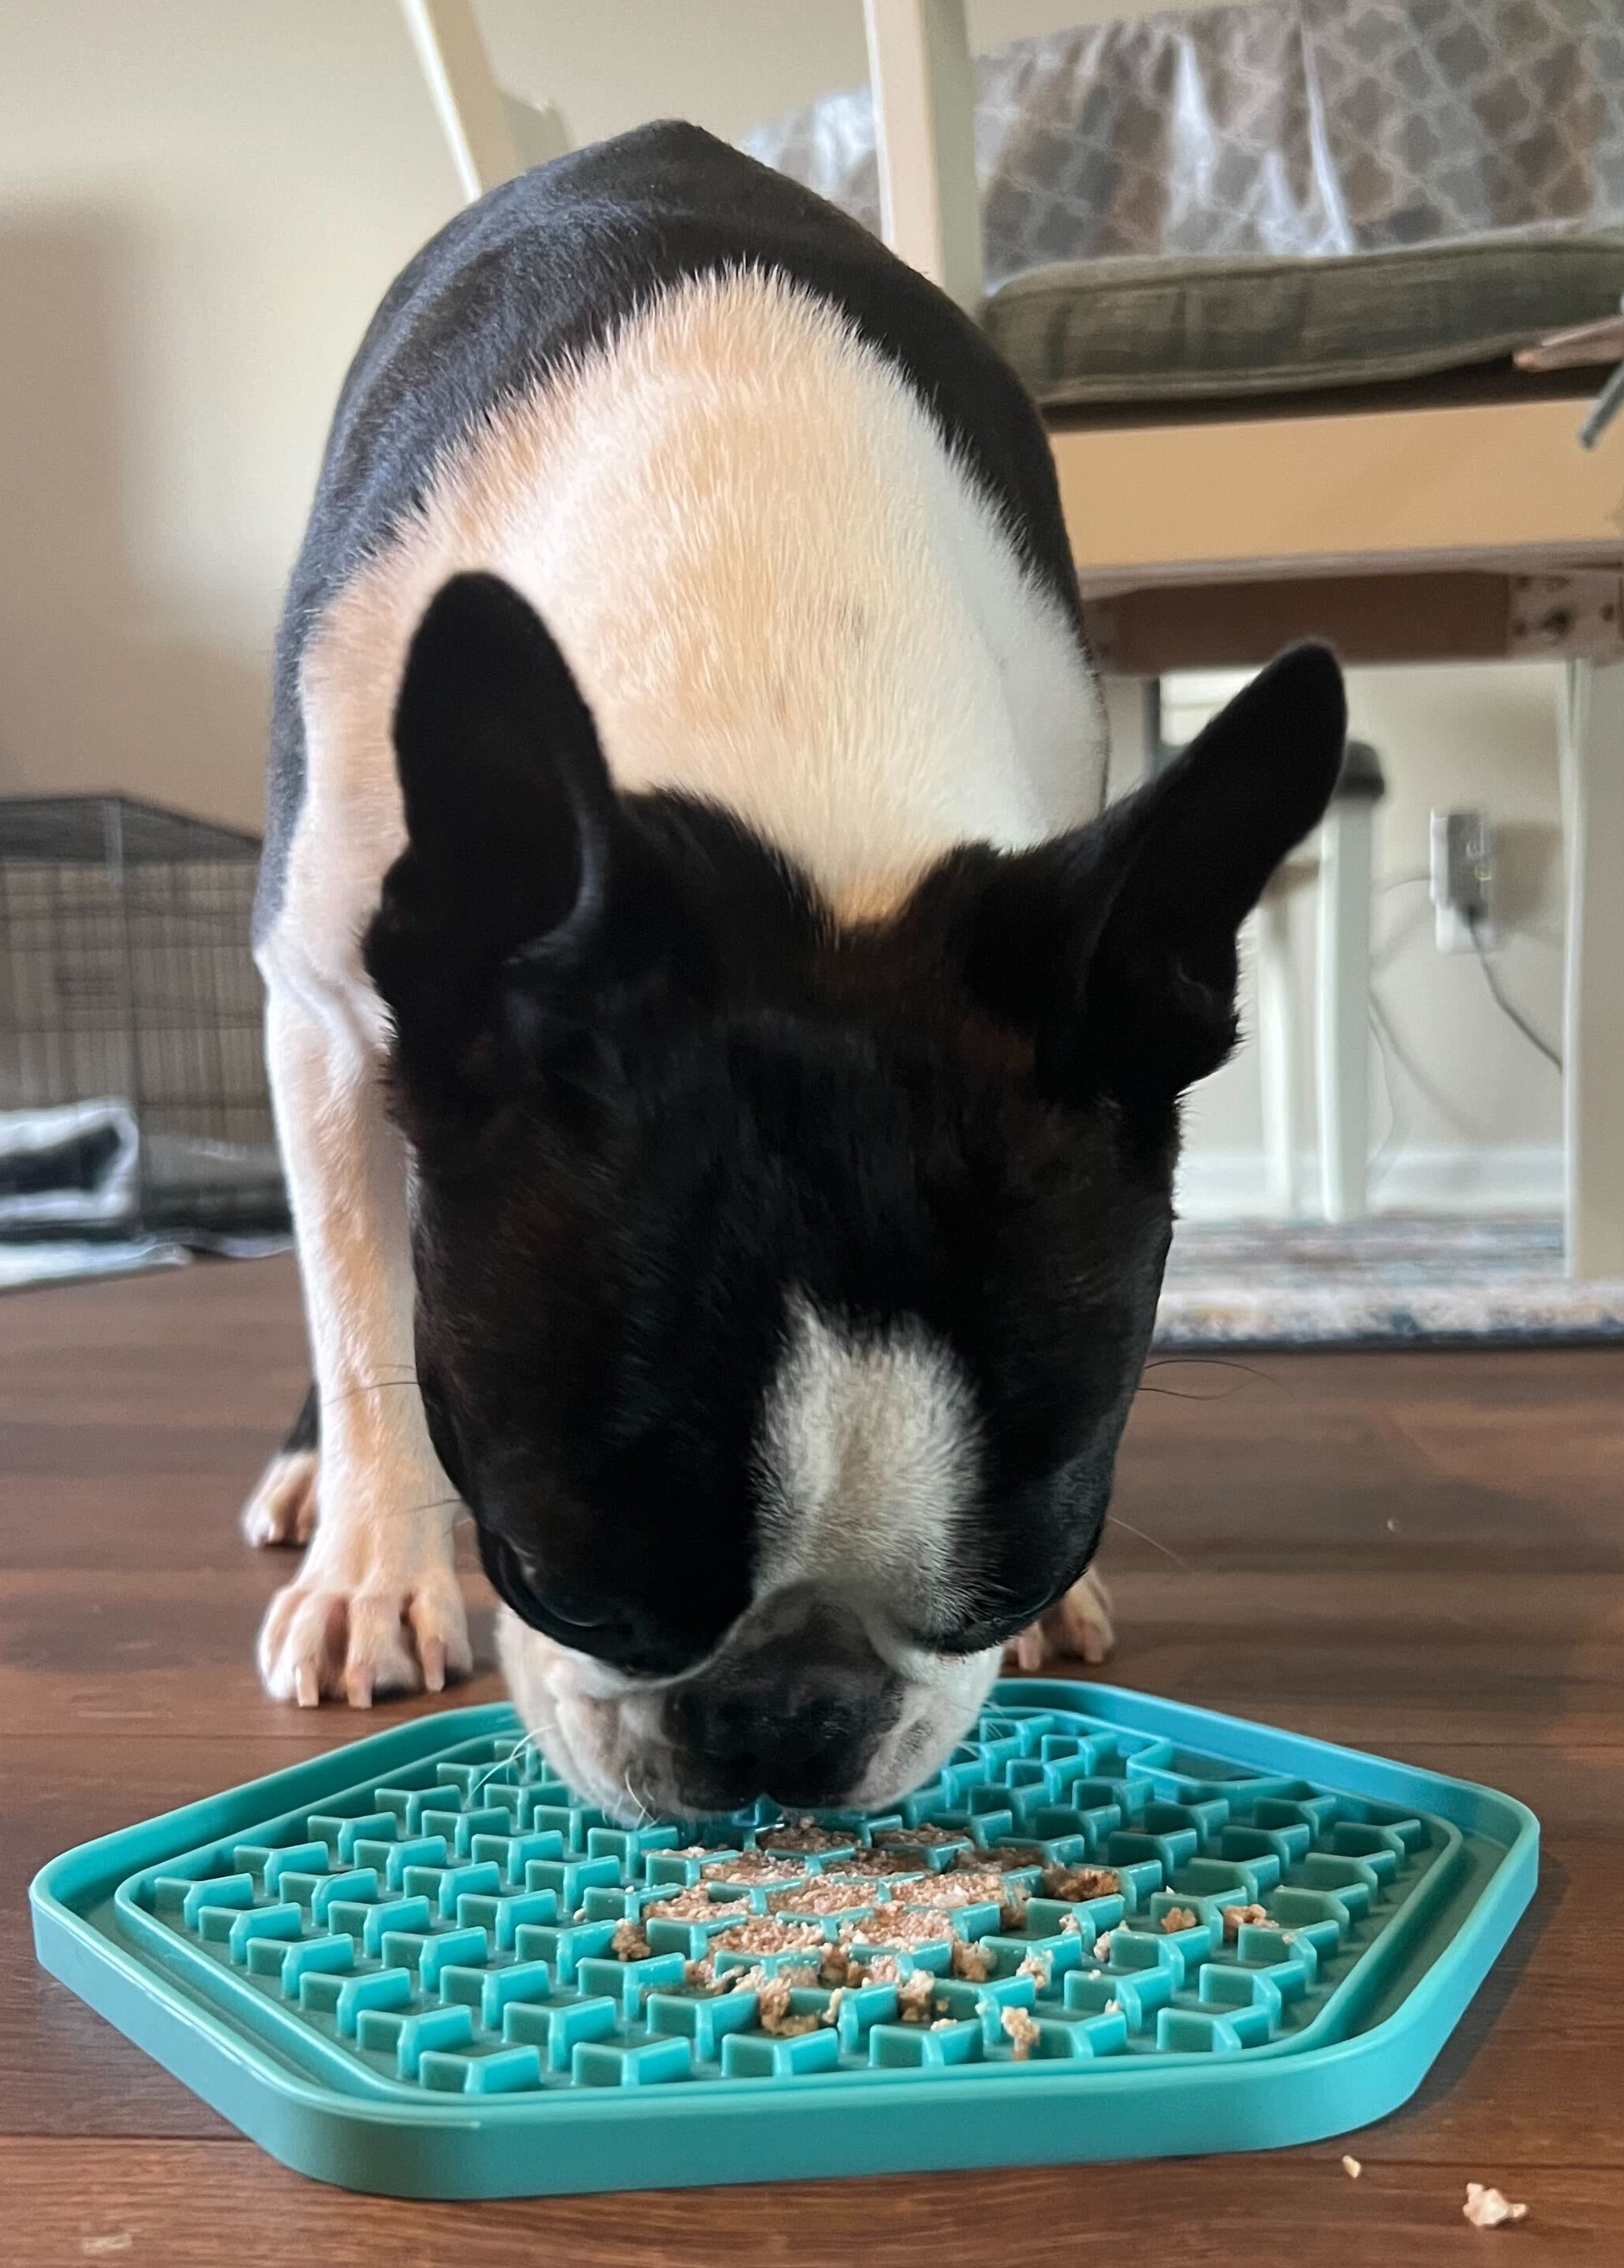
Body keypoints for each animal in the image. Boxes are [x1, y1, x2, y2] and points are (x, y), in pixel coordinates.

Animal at [235, 124, 1342, 1823]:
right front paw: (376, 1565)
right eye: (556, 1579)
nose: (783, 1719)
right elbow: (362, 1314)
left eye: (1028, 1565)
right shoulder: (324, 1008)